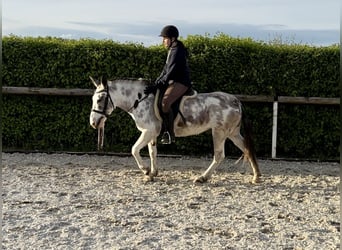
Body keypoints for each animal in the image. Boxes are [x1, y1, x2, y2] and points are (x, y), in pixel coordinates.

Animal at [89, 76, 260, 184]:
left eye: (99, 99)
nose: (93, 123)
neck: (139, 100)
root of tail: (236, 101)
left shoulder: (148, 131)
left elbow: (134, 149)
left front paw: (145, 170)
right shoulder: (152, 133)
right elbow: (152, 152)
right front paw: (153, 174)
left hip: (219, 132)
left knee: (219, 155)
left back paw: (202, 178)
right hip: (232, 133)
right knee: (247, 148)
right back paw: (256, 177)